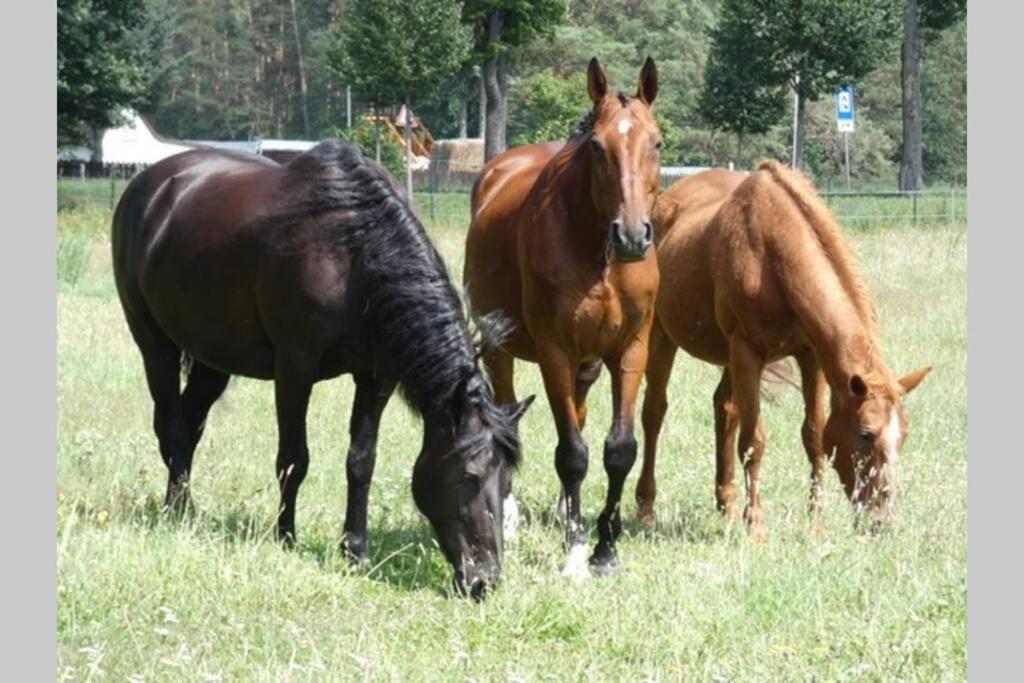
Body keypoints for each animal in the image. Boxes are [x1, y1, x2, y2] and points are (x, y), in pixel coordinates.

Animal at [113, 140, 536, 598]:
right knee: (171, 424)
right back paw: (177, 510)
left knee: (190, 426)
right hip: (154, 343)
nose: (484, 581)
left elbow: (361, 462)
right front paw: (285, 538)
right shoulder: (295, 368)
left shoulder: (377, 376)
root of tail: (149, 183)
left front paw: (356, 550)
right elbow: (294, 459)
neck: (352, 253)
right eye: (471, 476)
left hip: (213, 358)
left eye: (507, 483)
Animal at [466, 58, 663, 573]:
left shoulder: (631, 351)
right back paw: (510, 520)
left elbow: (619, 449)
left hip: (588, 364)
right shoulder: (554, 352)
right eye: (597, 146)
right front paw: (575, 552)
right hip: (500, 350)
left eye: (657, 142)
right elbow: (572, 452)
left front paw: (605, 547)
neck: (598, 254)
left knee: (580, 410)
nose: (632, 236)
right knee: (508, 418)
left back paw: (562, 510)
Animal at [634, 161, 933, 532]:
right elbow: (753, 440)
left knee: (725, 408)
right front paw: (756, 525)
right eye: (866, 434)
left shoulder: (811, 357)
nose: (881, 522)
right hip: (662, 335)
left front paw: (815, 522)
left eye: (903, 434)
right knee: (654, 411)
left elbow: (814, 437)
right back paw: (646, 508)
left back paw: (727, 503)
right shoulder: (746, 352)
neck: (771, 253)